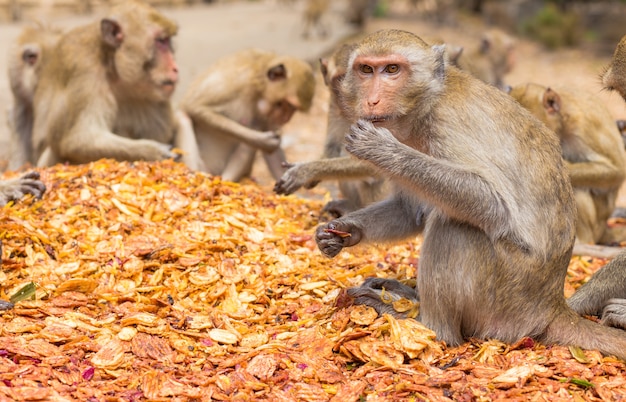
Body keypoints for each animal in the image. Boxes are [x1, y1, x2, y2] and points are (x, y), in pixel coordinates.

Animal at [31, 0, 197, 166]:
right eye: (161, 41)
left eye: (168, 40)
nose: (175, 68)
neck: (115, 71)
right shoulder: (83, 69)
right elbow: (77, 140)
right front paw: (154, 152)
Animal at [178, 48, 314, 182]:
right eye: (286, 104)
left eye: (293, 108)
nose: (286, 118)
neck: (258, 86)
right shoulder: (235, 82)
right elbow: (195, 106)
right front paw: (263, 141)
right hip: (202, 167)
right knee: (184, 117)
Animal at [508, 83, 624, 247]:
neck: (564, 119)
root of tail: (603, 230)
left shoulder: (584, 127)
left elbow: (617, 170)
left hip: (595, 227)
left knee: (575, 188)